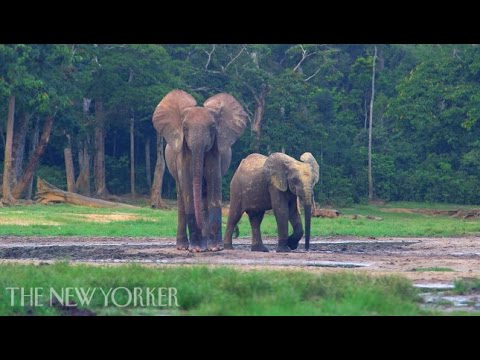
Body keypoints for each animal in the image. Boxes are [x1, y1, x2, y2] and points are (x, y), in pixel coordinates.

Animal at [154, 90, 248, 253]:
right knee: (182, 200)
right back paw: (183, 246)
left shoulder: (215, 150)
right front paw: (197, 249)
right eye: (184, 127)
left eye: (212, 127)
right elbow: (188, 188)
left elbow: (214, 185)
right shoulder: (182, 151)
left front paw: (215, 248)